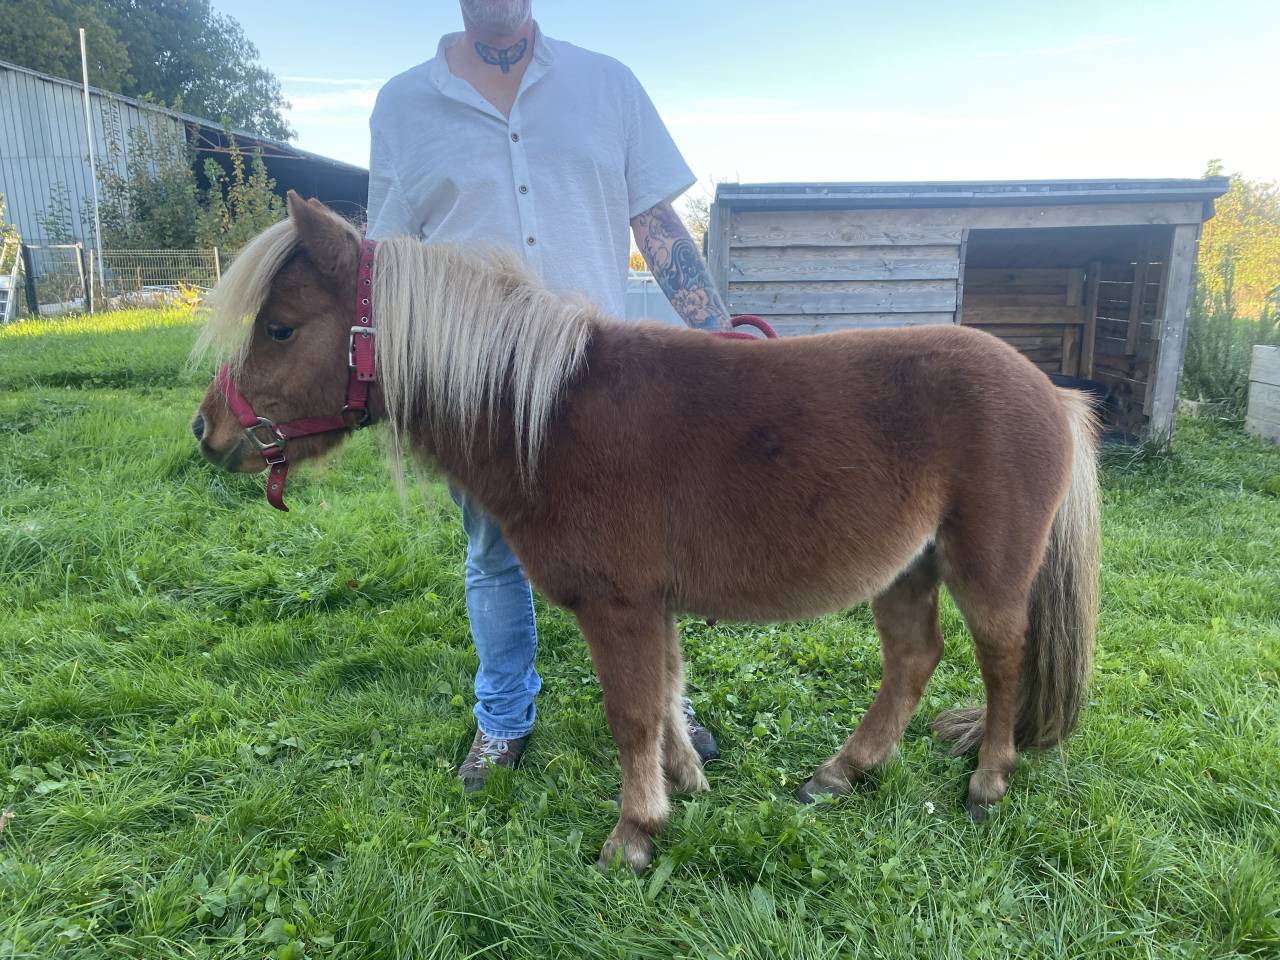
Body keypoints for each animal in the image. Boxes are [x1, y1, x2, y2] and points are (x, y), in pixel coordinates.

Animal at [191, 192, 1101, 873]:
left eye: (280, 327)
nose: (207, 431)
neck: (550, 414)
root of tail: (1051, 392)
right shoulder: (654, 606)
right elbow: (665, 695)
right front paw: (686, 784)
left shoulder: (618, 605)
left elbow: (630, 713)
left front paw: (633, 835)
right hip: (907, 568)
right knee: (913, 660)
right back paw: (840, 773)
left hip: (986, 569)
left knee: (1003, 660)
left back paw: (988, 782)